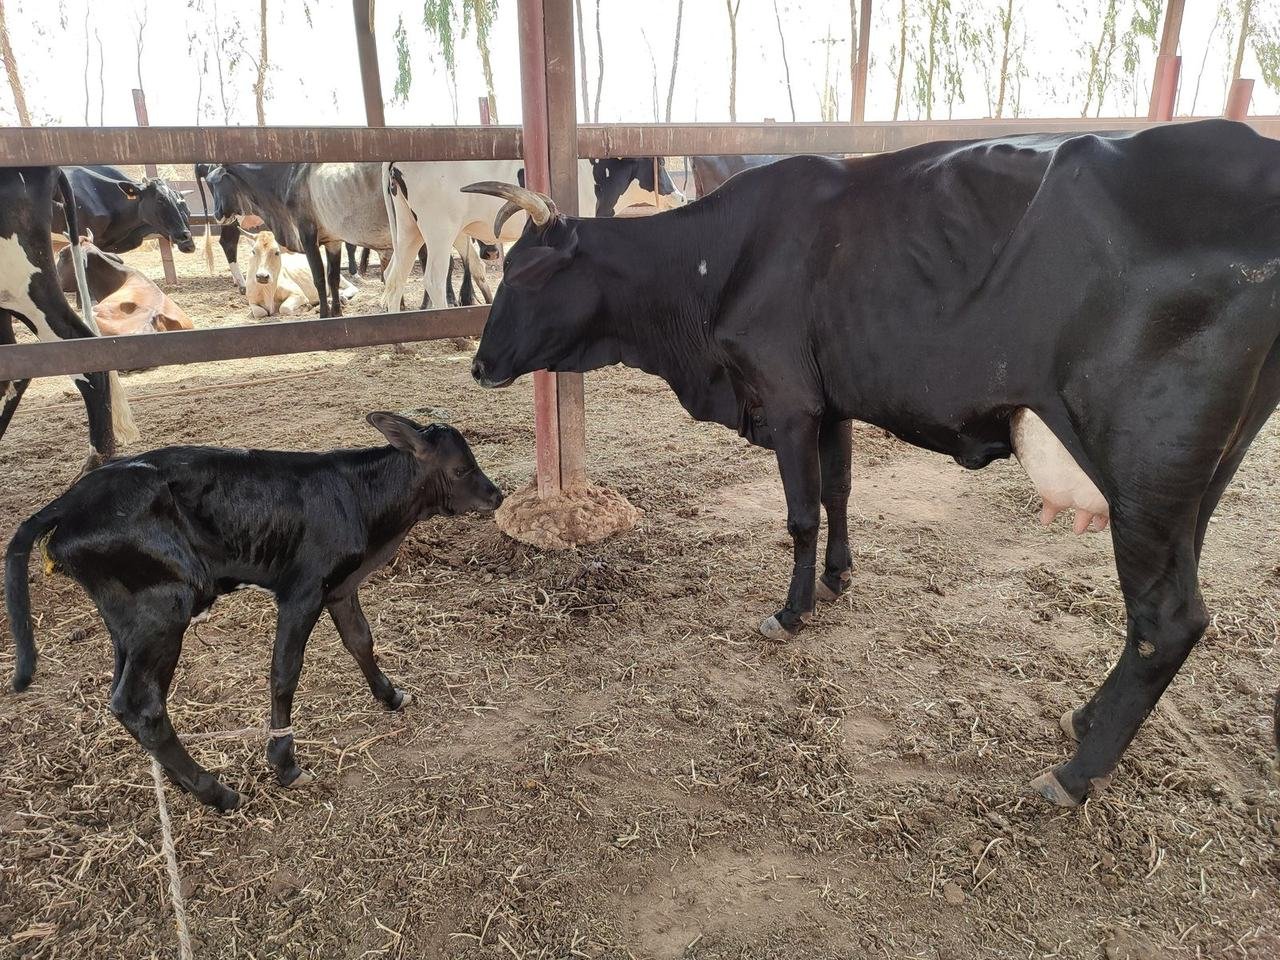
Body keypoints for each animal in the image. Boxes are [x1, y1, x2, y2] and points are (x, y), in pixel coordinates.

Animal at [6, 412, 504, 810]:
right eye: (462, 468)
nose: (497, 496)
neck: (360, 498)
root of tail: (69, 501)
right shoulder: (302, 591)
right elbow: (285, 672)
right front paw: (284, 763)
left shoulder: (340, 587)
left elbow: (361, 640)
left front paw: (391, 695)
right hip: (162, 611)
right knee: (140, 704)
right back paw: (216, 792)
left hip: (127, 620)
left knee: (123, 699)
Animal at [380, 157, 685, 315]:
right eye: (661, 165)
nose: (681, 196)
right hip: (439, 230)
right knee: (432, 279)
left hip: (409, 230)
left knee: (395, 277)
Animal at [463, 120, 1280, 810]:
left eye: (528, 273)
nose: (478, 364)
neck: (713, 269)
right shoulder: (833, 402)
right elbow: (839, 493)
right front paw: (838, 577)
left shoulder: (789, 398)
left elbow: (800, 513)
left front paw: (791, 610)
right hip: (1199, 482)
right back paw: (1083, 721)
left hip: (1145, 471)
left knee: (1166, 621)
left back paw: (1075, 775)